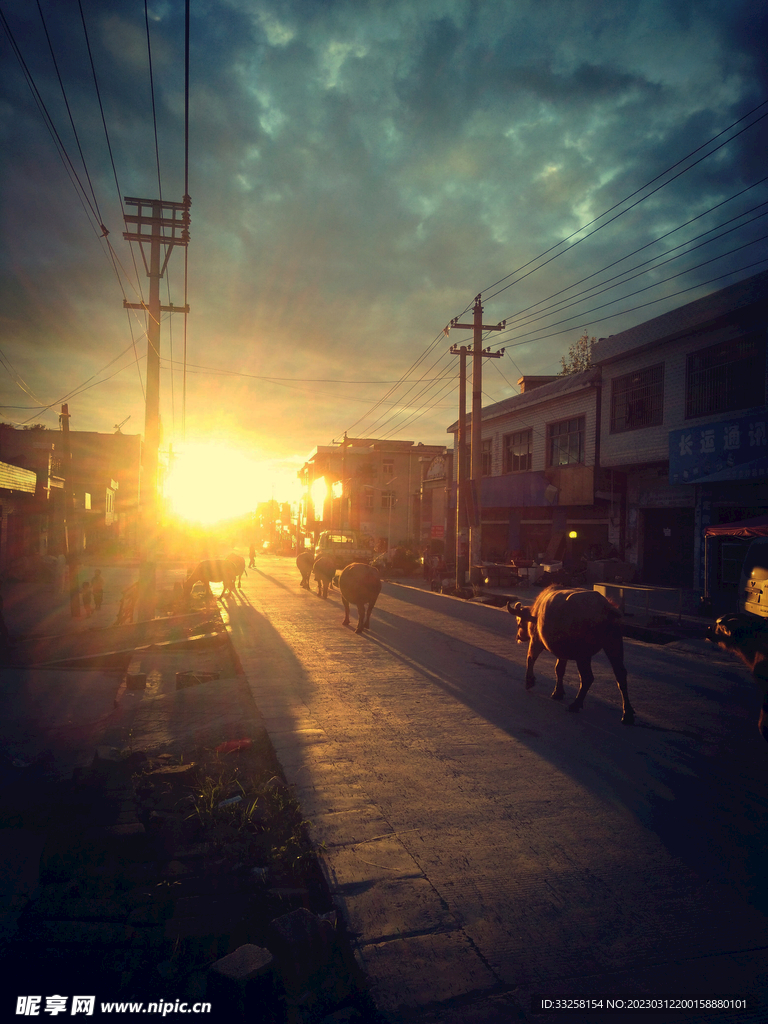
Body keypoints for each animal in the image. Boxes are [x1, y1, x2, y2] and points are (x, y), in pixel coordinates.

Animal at [507, 589, 634, 724]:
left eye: (519, 622)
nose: (519, 637)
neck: (536, 615)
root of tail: (605, 607)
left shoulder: (536, 642)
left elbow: (530, 659)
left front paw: (529, 681)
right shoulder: (562, 653)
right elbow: (559, 670)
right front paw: (558, 692)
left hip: (583, 655)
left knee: (587, 677)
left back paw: (576, 704)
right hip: (613, 644)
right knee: (620, 674)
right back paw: (627, 714)